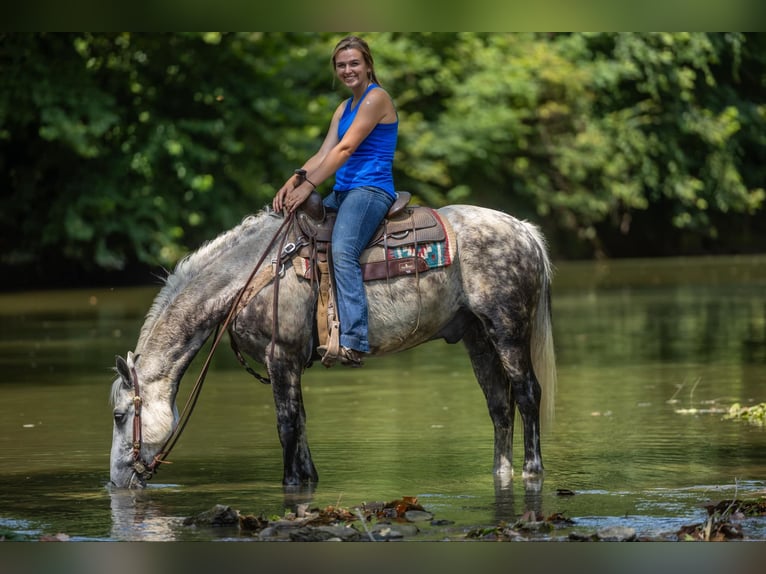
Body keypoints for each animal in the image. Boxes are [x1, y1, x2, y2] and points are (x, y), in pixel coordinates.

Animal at [109, 205, 560, 488]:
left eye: (118, 415)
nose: (115, 480)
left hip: (507, 329)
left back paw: (533, 471)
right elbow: (302, 422)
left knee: (527, 394)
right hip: (476, 336)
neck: (254, 274)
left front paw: (291, 481)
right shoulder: (288, 364)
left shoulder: (281, 357)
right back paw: (500, 474)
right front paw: (309, 478)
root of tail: (524, 231)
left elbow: (287, 425)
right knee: (499, 405)